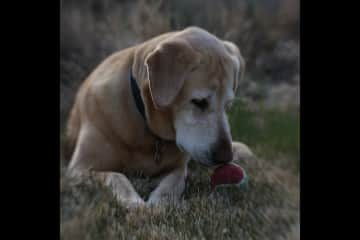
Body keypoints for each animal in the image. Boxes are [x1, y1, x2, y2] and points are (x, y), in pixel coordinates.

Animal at [65, 25, 253, 206]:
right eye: (199, 102)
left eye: (228, 105)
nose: (225, 158)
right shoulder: (78, 170)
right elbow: (116, 176)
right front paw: (134, 202)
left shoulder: (178, 168)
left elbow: (174, 182)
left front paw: (160, 202)